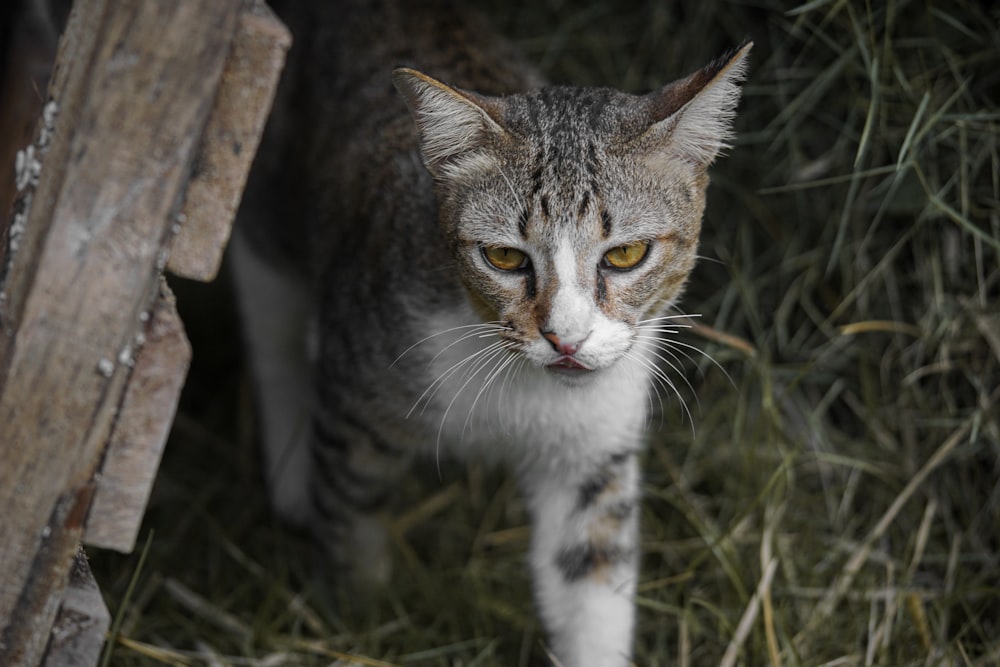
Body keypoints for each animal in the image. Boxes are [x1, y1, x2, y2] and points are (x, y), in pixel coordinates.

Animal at [232, 2, 752, 664]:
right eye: (504, 258)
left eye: (626, 254)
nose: (565, 337)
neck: (523, 388)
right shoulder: (358, 398)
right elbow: (351, 528)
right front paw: (358, 623)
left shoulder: (594, 454)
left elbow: (590, 575)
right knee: (267, 308)